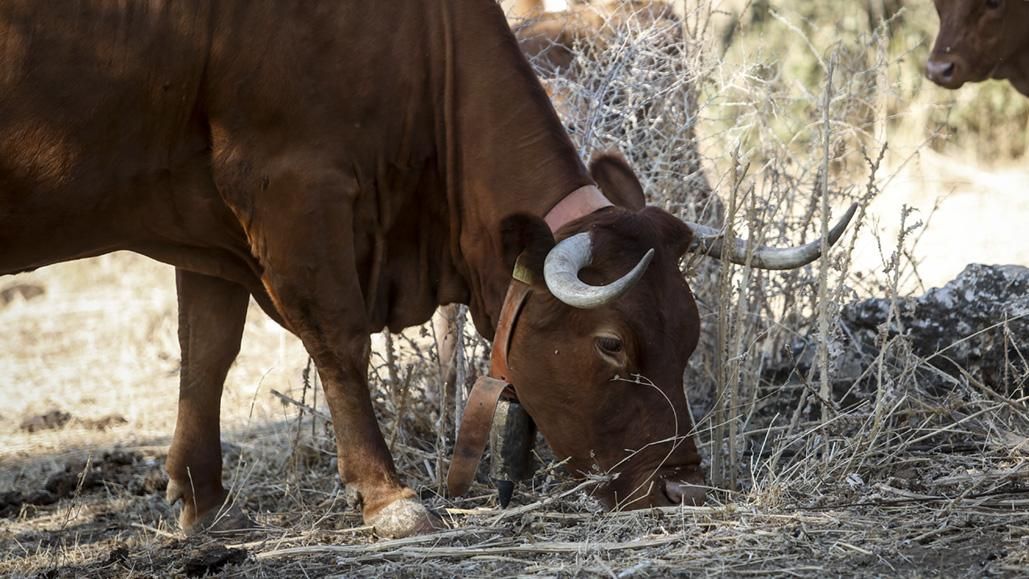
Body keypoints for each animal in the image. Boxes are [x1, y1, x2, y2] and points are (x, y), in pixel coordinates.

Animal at [0, 0, 853, 538]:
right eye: (611, 344)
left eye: (689, 334)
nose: (684, 488)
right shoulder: (289, 184)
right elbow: (338, 339)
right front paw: (390, 498)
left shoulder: (207, 221)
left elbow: (208, 350)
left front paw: (204, 500)